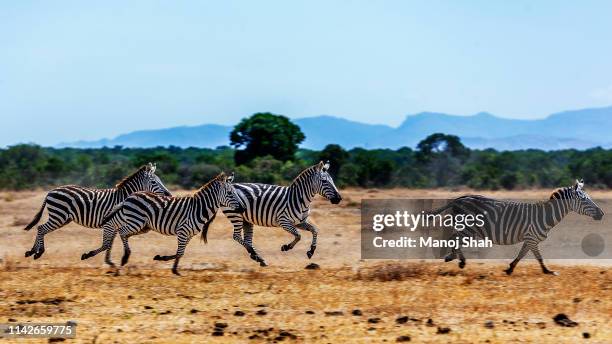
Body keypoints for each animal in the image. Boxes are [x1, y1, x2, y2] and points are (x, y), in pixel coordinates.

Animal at [23, 163, 171, 258]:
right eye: (154, 182)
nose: (169, 195)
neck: (123, 197)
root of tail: (51, 191)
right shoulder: (110, 224)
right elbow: (107, 244)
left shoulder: (116, 225)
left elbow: (110, 244)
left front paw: (110, 263)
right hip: (58, 216)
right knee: (41, 228)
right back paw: (38, 252)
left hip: (63, 218)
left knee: (41, 228)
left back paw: (31, 251)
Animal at [80, 173, 244, 276]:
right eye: (230, 193)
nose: (242, 209)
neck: (199, 208)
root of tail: (131, 195)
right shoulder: (183, 231)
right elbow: (179, 252)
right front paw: (165, 262)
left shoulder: (189, 234)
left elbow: (181, 253)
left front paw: (174, 268)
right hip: (136, 220)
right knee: (121, 231)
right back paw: (124, 256)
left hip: (136, 222)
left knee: (115, 227)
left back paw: (97, 253)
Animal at [436, 180, 604, 274]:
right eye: (584, 200)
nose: (601, 214)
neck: (545, 216)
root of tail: (460, 198)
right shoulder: (532, 238)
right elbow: (538, 256)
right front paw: (548, 271)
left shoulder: (530, 239)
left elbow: (522, 254)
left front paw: (510, 268)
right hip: (468, 228)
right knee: (453, 239)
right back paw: (458, 260)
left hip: (468, 229)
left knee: (454, 239)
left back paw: (454, 258)